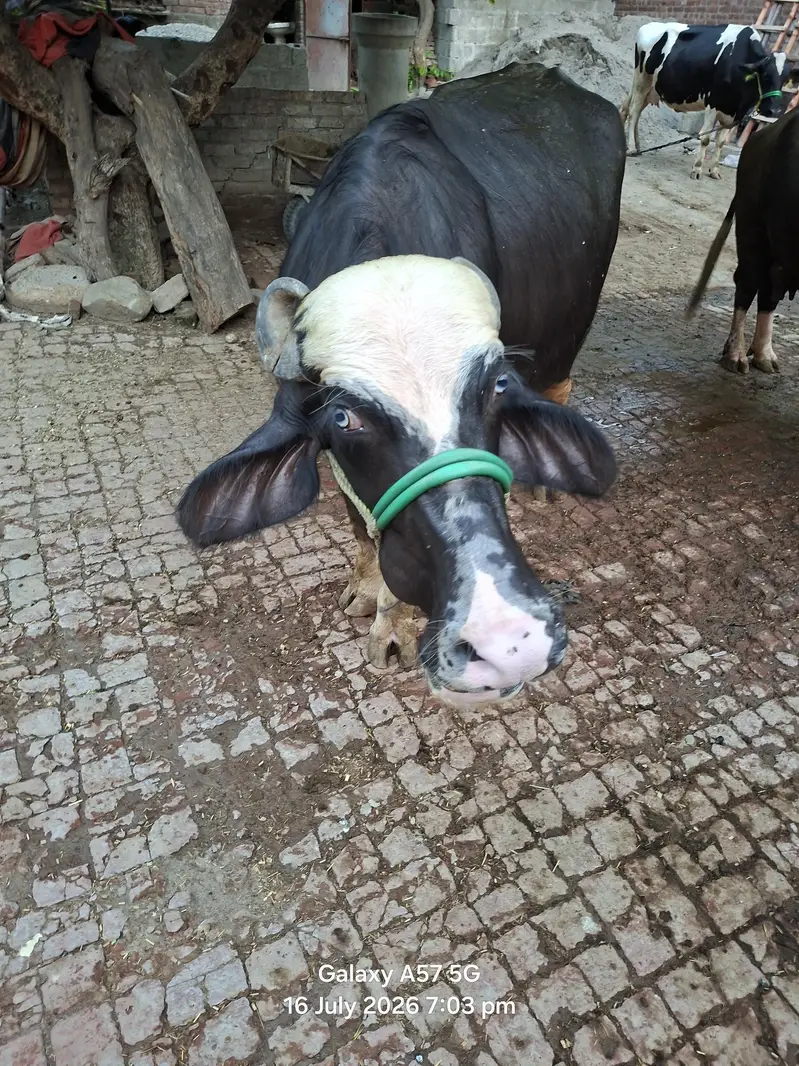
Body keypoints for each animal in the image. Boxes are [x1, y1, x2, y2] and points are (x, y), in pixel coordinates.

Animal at [177, 63, 625, 708]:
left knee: (559, 382)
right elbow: (357, 517)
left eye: (495, 387)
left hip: (570, 330)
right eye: (344, 418)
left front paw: (397, 626)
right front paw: (368, 591)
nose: (508, 640)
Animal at [620, 22, 787, 179]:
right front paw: (697, 169)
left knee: (633, 110)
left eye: (786, 79)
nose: (774, 110)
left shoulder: (732, 112)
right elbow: (706, 138)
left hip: (651, 88)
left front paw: (714, 171)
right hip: (642, 79)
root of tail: (650, 25)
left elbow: (721, 142)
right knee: (634, 111)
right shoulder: (713, 103)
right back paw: (632, 148)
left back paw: (637, 146)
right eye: (765, 75)